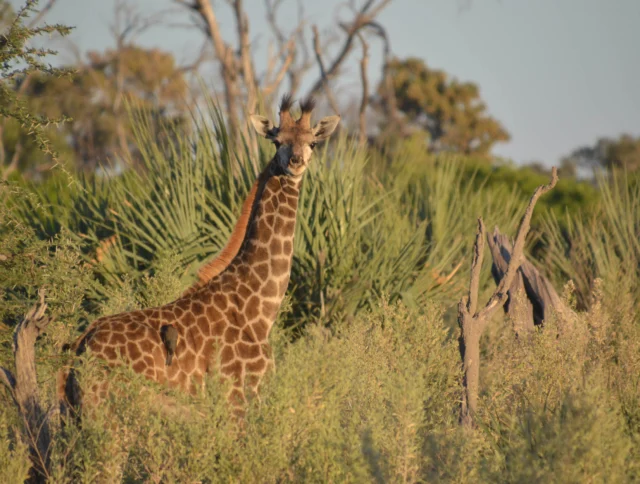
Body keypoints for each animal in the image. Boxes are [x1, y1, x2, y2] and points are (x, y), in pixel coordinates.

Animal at [59, 95, 340, 412]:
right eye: (277, 141)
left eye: (312, 142)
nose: (295, 162)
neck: (260, 311)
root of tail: (80, 347)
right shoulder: (238, 396)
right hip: (110, 405)